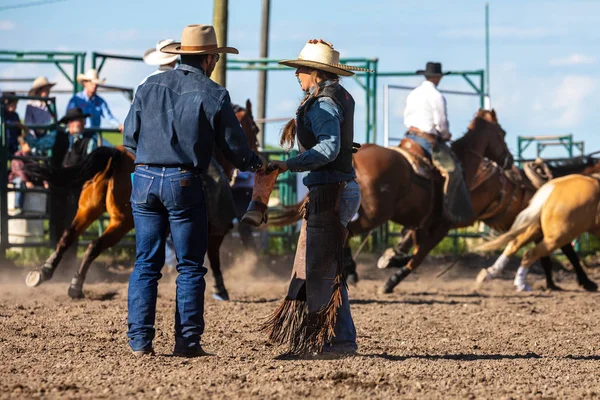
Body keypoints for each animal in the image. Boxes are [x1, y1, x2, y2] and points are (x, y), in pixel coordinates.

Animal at [24, 100, 258, 300]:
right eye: (255, 128)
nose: (254, 154)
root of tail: (116, 157)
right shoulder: (214, 229)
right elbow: (214, 257)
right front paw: (221, 289)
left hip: (88, 209)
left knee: (68, 237)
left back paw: (44, 273)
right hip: (122, 221)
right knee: (94, 245)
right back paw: (75, 286)